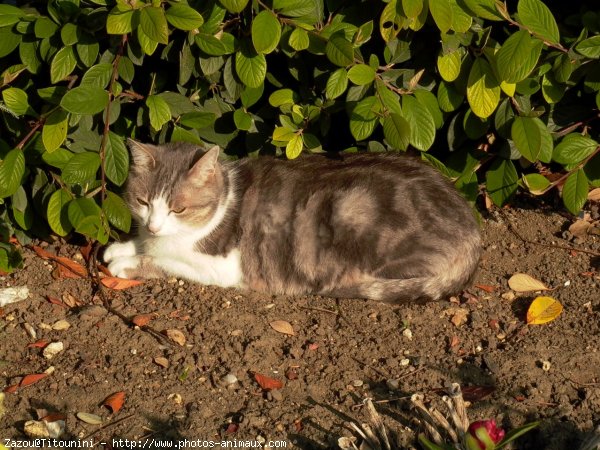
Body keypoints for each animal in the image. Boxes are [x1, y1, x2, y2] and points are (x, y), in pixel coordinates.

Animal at [102, 141, 478, 302]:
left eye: (178, 209)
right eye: (143, 202)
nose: (154, 226)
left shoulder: (223, 267)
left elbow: (166, 260)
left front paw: (129, 263)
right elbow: (145, 245)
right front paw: (122, 247)